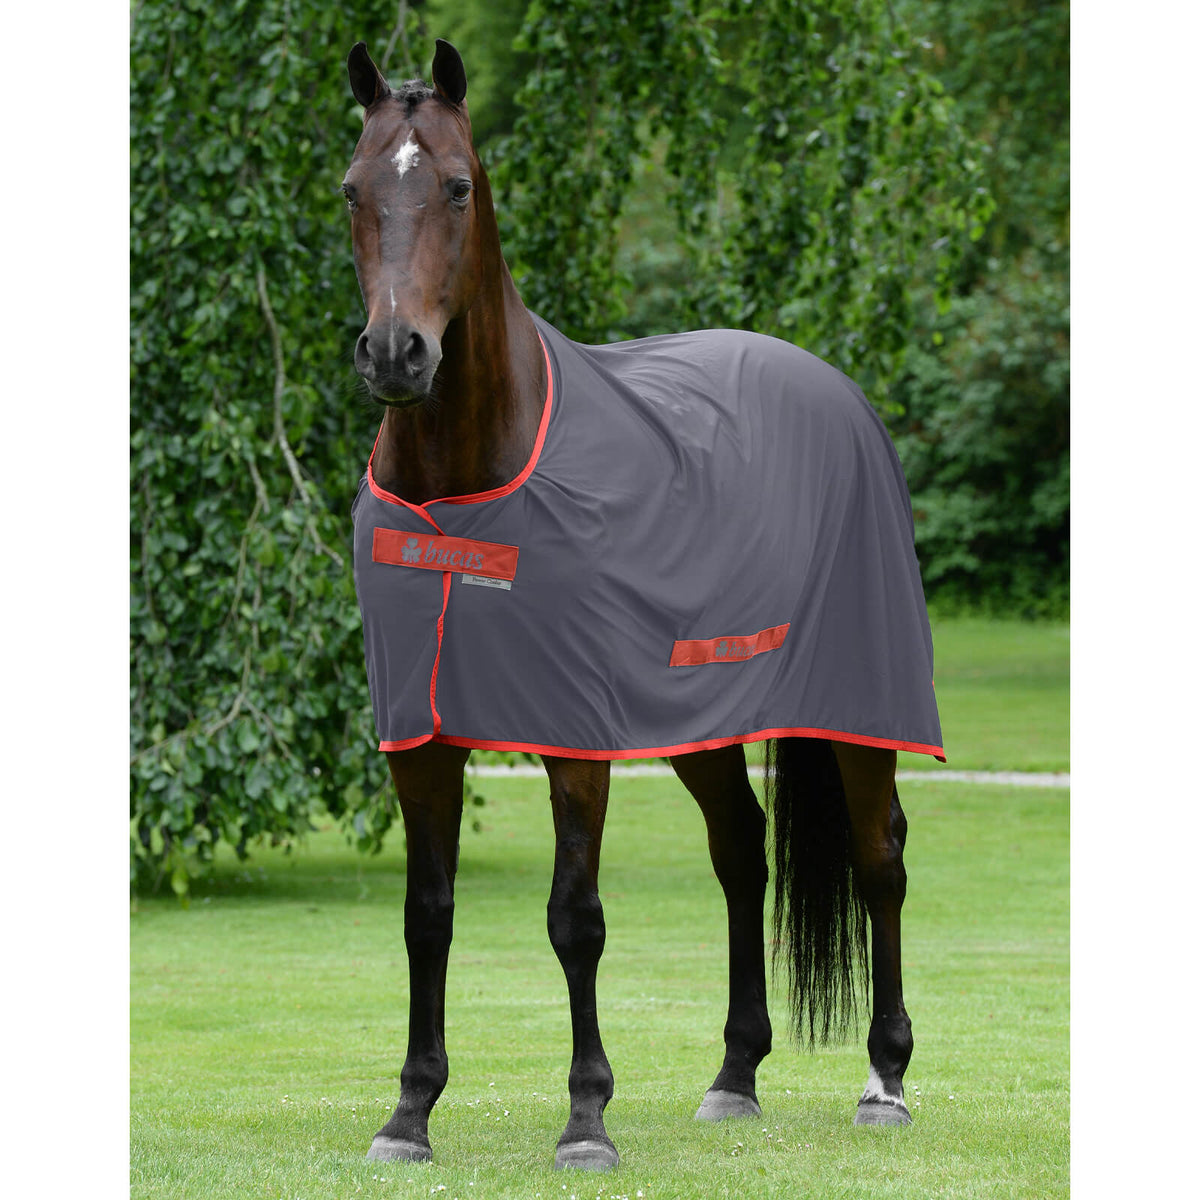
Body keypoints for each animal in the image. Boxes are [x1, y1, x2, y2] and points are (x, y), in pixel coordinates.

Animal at [341, 38, 943, 1172]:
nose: (397, 355)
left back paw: (885, 1080)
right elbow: (425, 914)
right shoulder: (421, 735)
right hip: (701, 714)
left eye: (457, 186)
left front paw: (586, 1119)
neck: (466, 489)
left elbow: (575, 919)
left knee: (880, 858)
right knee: (742, 851)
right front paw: (409, 1113)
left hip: (859, 704)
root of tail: (834, 389)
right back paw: (735, 1075)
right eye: (355, 191)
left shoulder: (577, 738)